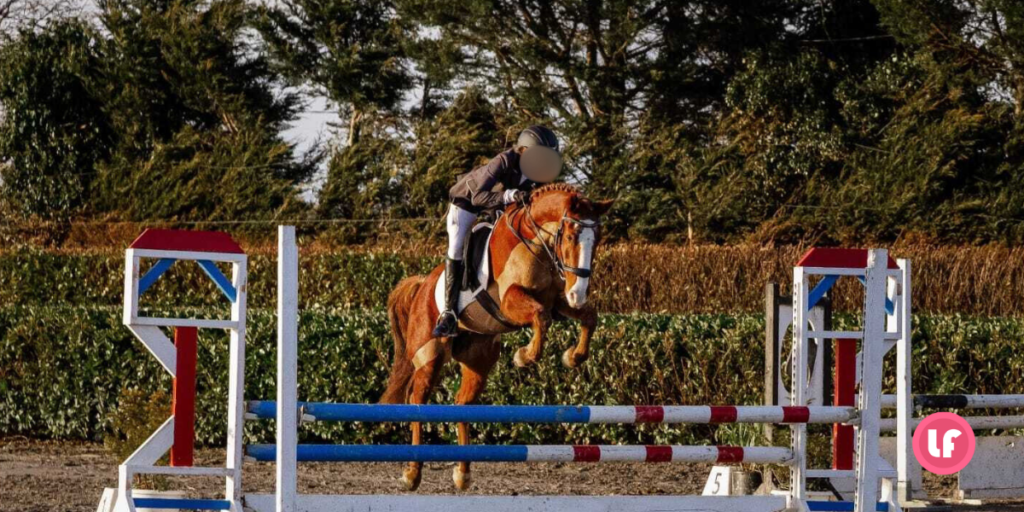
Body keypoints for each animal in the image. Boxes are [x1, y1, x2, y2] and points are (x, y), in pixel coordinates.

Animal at [380, 184, 610, 491]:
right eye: (571, 236)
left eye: (596, 240)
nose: (579, 293)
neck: (535, 243)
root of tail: (421, 286)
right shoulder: (510, 301)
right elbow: (540, 316)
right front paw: (524, 356)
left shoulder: (558, 300)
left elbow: (588, 317)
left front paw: (573, 357)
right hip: (429, 356)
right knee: (417, 400)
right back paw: (412, 474)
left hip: (478, 360)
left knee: (462, 405)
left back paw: (463, 473)